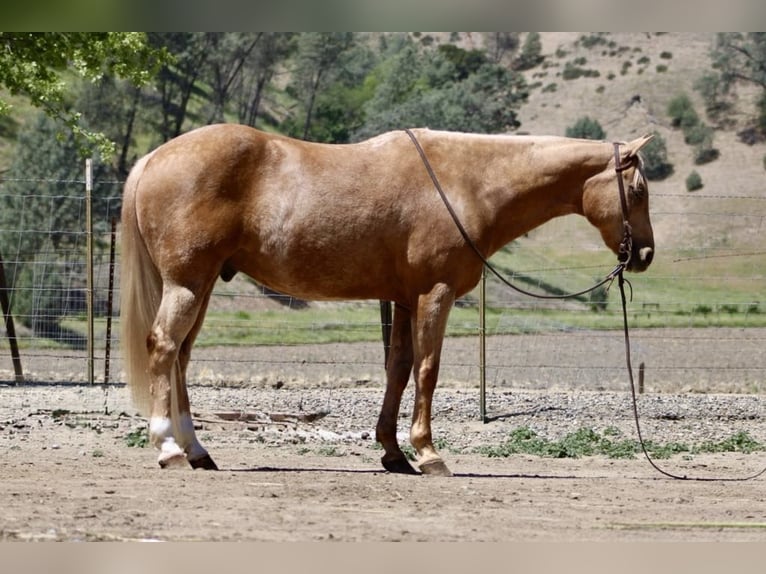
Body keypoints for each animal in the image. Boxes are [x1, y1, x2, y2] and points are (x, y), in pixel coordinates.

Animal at [120, 124, 654, 476]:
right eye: (639, 191)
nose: (645, 254)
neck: (465, 183)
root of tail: (153, 159)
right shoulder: (434, 294)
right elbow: (428, 369)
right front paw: (429, 453)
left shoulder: (402, 299)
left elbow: (398, 368)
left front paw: (394, 453)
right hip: (188, 283)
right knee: (164, 347)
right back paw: (168, 448)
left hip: (204, 284)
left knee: (182, 356)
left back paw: (197, 450)